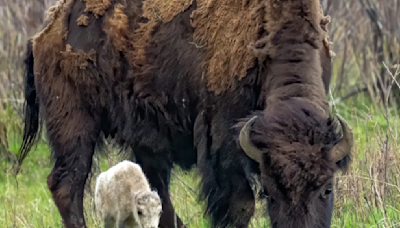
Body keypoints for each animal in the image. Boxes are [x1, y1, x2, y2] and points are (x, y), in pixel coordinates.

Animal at [18, 0, 354, 227]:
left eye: (327, 189)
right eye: (270, 193)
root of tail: (45, 32)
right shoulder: (224, 142)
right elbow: (239, 205)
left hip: (144, 137)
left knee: (156, 191)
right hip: (75, 125)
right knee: (67, 184)